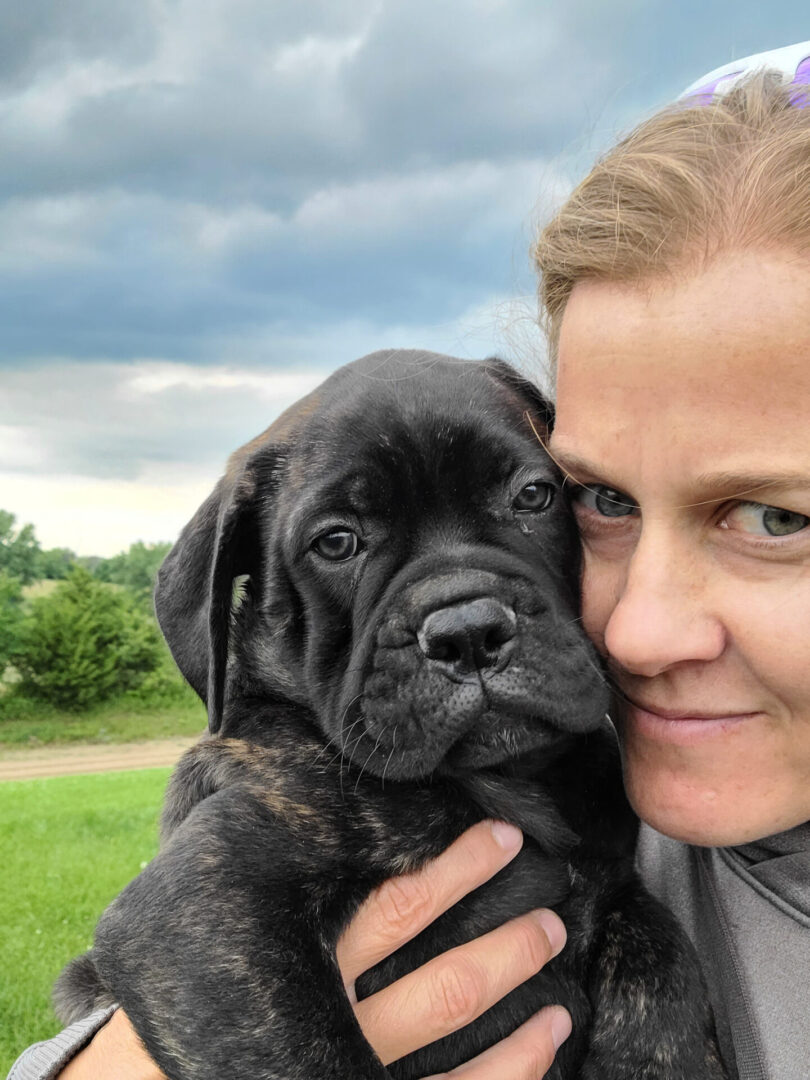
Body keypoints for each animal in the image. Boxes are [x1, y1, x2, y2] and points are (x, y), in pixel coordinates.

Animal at [58, 349, 730, 1075]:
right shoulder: (208, 911)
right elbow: (314, 1055)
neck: (510, 782)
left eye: (534, 496)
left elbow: (661, 962)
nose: (468, 631)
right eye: (336, 543)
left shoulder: (614, 880)